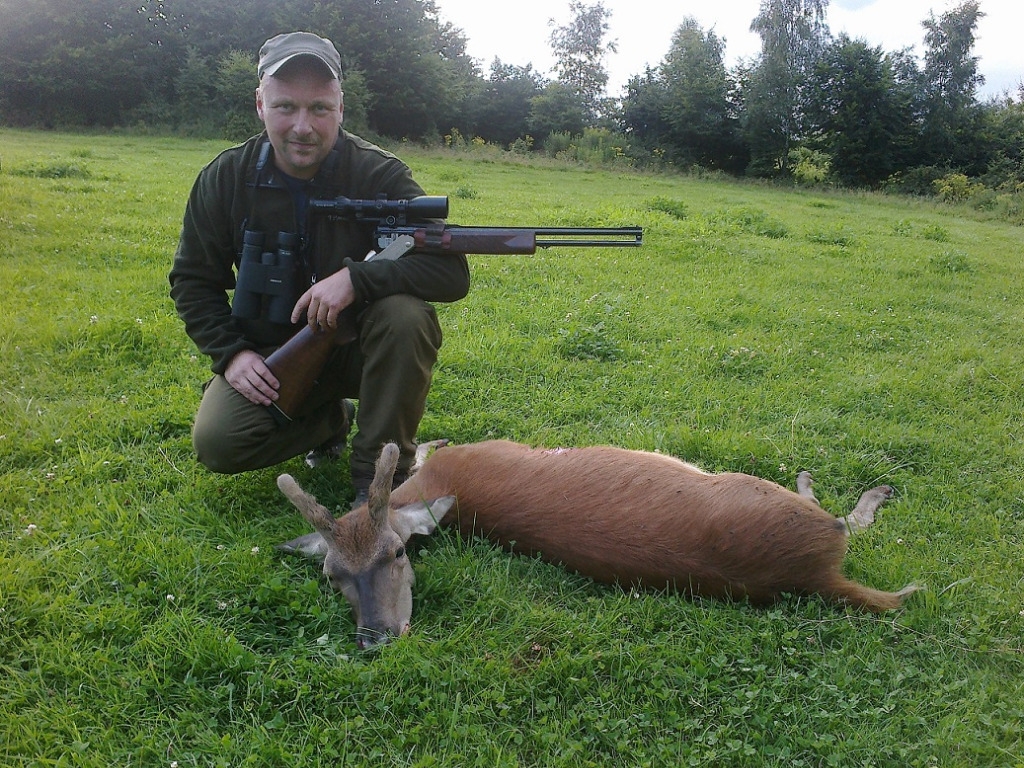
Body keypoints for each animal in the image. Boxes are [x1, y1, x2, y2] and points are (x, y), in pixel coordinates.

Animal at [274, 438, 921, 651]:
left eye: (396, 554)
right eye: (333, 577)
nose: (376, 637)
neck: (442, 490)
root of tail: (814, 578)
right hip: (768, 496)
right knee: (841, 522)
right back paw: (866, 490)